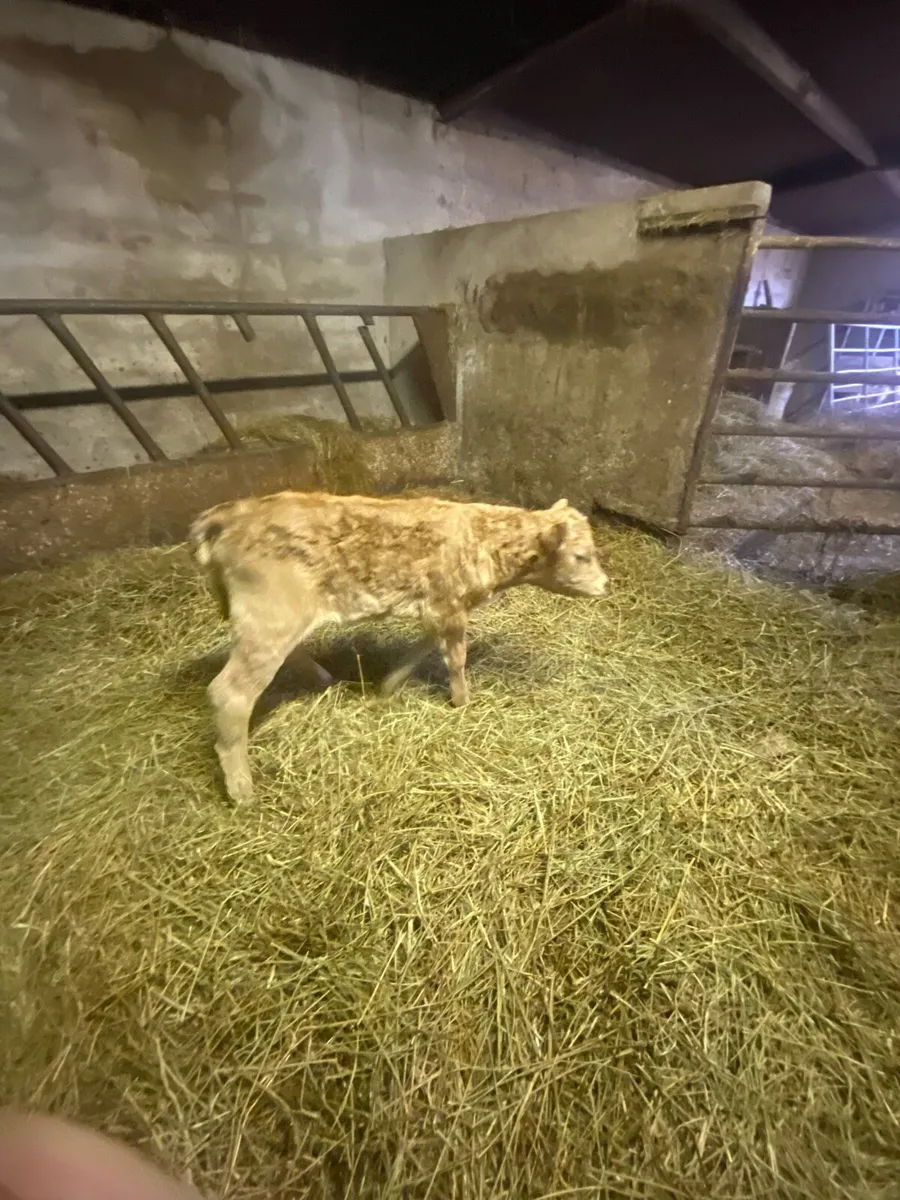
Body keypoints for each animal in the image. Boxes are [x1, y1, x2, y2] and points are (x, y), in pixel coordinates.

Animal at [189, 491, 609, 803]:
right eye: (581, 556)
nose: (606, 585)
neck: (484, 538)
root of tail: (225, 515)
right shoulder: (450, 605)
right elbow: (456, 658)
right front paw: (462, 702)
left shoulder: (437, 609)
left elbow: (423, 647)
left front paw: (389, 684)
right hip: (269, 619)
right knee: (229, 693)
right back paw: (241, 789)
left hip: (278, 619)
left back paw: (323, 678)